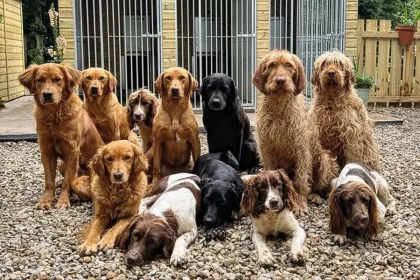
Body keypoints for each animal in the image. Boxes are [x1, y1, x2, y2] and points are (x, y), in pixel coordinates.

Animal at [17, 62, 104, 209]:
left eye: (57, 79)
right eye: (40, 80)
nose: (47, 94)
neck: (54, 116)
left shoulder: (72, 150)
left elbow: (68, 181)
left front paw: (63, 201)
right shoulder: (46, 150)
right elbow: (49, 180)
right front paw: (46, 201)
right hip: (61, 164)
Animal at [253, 50, 338, 212]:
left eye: (288, 65)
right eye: (272, 65)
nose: (280, 81)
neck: (279, 108)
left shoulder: (301, 150)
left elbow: (301, 180)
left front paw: (300, 203)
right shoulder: (266, 149)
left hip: (325, 159)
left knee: (317, 187)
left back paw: (315, 196)